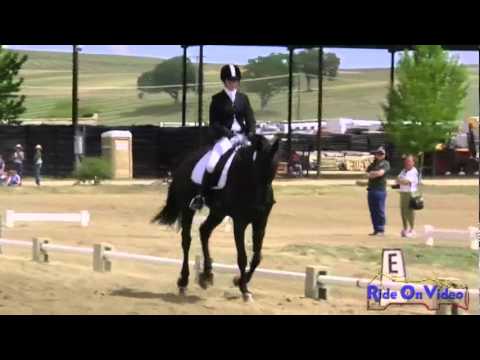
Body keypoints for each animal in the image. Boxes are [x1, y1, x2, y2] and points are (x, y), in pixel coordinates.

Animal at [152, 135, 280, 300]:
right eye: (256, 167)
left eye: (274, 168)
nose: (260, 204)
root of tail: (183, 164)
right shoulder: (240, 222)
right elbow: (242, 257)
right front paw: (244, 289)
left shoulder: (261, 221)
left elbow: (257, 258)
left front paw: (239, 281)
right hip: (188, 210)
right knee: (186, 241)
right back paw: (184, 281)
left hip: (218, 213)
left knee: (204, 231)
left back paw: (206, 275)